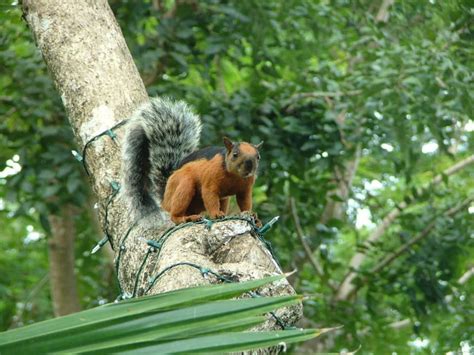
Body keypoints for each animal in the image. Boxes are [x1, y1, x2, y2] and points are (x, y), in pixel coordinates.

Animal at [122, 96, 262, 225]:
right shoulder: (210, 179)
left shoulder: (245, 188)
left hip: (216, 200)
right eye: (235, 154)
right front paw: (216, 214)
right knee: (175, 214)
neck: (235, 177)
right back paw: (186, 218)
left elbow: (245, 201)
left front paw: (250, 214)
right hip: (184, 185)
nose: (249, 166)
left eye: (258, 157)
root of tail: (165, 199)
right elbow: (210, 197)